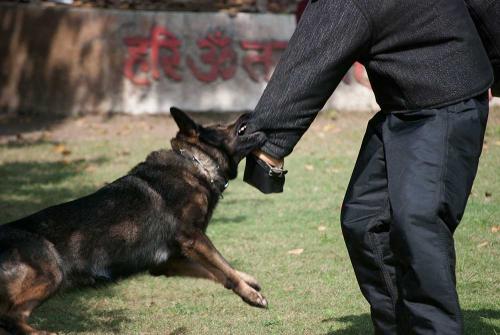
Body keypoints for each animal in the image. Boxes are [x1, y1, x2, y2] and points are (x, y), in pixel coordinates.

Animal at [0, 109, 270, 334]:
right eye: (221, 124)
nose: (248, 113)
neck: (196, 164)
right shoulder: (194, 239)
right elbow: (223, 266)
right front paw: (250, 293)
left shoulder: (167, 263)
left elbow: (217, 271)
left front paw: (247, 282)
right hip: (52, 272)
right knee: (10, 318)